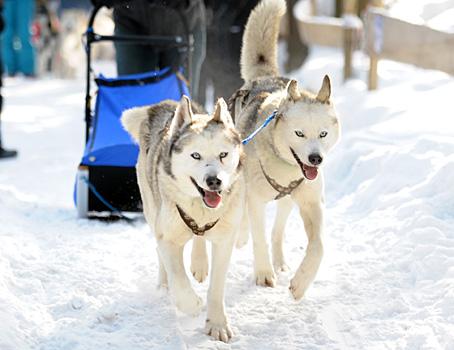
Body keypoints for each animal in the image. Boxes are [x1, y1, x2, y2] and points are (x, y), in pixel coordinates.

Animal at [120, 96, 245, 342]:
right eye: (195, 155)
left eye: (223, 155)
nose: (214, 181)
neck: (200, 209)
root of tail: (163, 104)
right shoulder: (168, 238)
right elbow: (178, 279)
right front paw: (192, 304)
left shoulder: (224, 240)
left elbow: (216, 287)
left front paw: (217, 324)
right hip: (152, 212)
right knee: (161, 254)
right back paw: (164, 285)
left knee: (199, 237)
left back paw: (199, 262)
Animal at [231, 0, 340, 300]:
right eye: (299, 133)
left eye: (323, 134)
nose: (315, 158)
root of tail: (266, 78)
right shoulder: (255, 200)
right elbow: (257, 236)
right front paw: (263, 273)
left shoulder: (312, 203)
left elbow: (319, 246)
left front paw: (301, 283)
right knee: (249, 222)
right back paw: (244, 239)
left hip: (289, 202)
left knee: (277, 231)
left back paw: (279, 261)